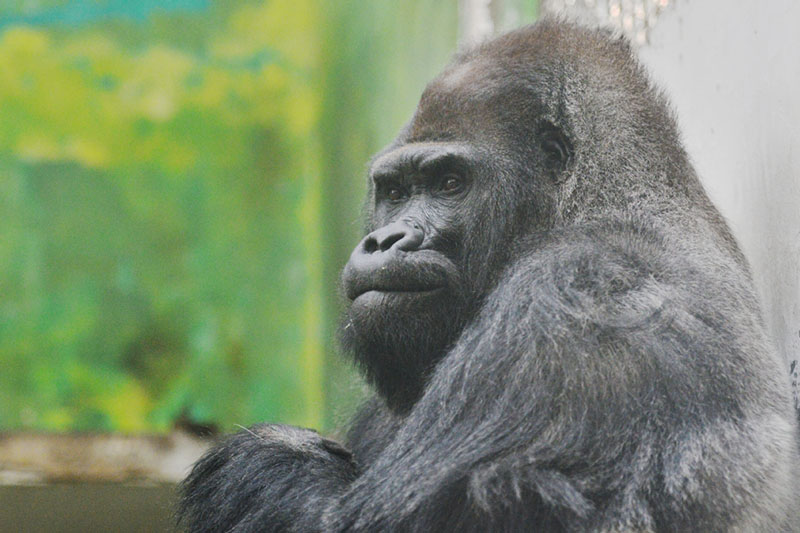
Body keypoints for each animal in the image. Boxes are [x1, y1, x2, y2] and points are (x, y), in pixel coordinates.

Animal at [177, 18, 800, 528]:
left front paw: (261, 455)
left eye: (450, 183)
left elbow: (342, 519)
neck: (603, 198)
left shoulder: (572, 298)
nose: (385, 241)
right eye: (395, 191)